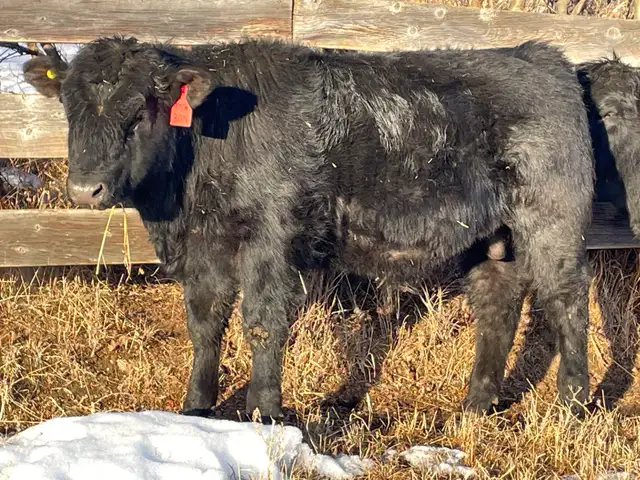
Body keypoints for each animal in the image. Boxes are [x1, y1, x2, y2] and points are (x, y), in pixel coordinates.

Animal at [23, 37, 594, 421]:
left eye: (139, 112)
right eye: (69, 108)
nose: (85, 190)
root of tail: (538, 55)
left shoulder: (272, 236)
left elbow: (261, 321)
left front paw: (265, 412)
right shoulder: (206, 244)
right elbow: (205, 322)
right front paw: (196, 409)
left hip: (552, 223)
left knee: (567, 301)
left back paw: (573, 403)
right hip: (490, 238)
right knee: (498, 304)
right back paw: (476, 405)